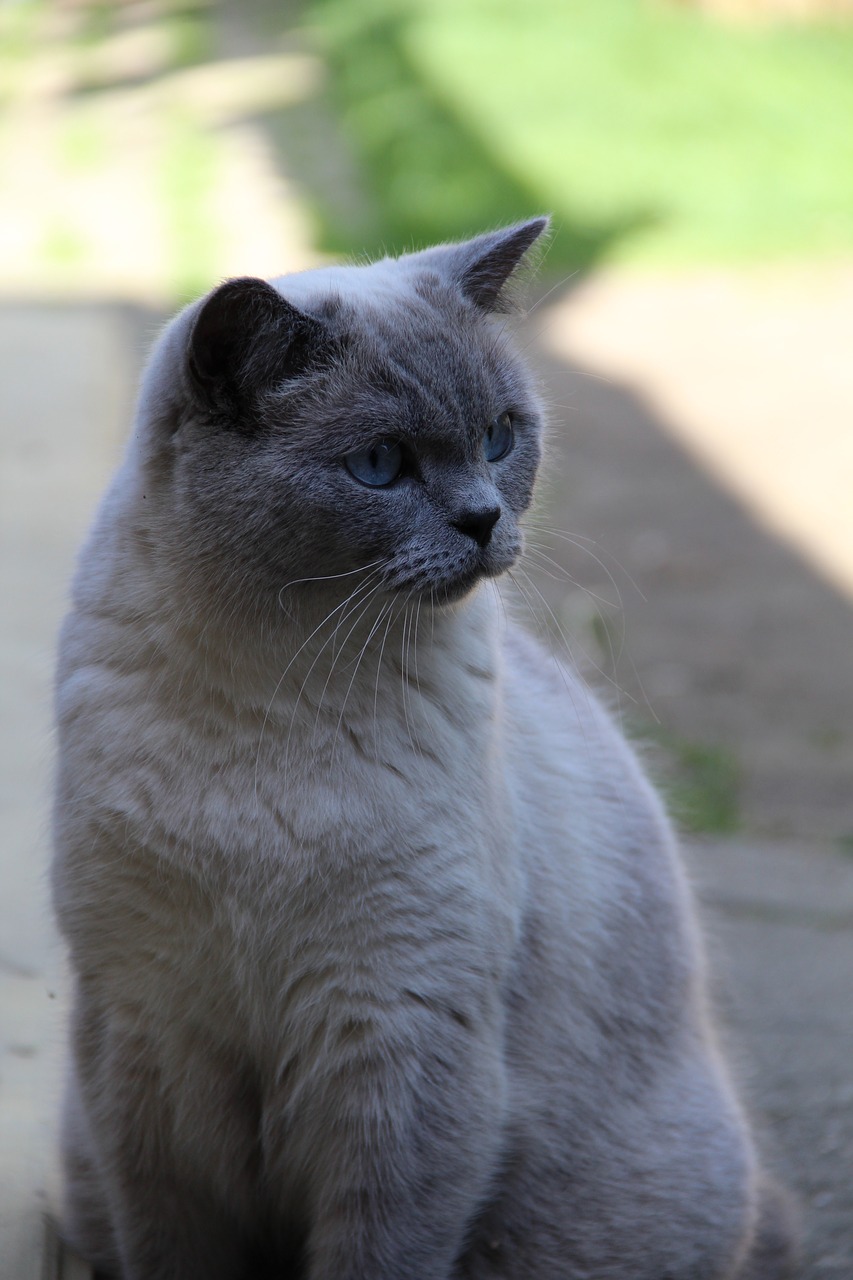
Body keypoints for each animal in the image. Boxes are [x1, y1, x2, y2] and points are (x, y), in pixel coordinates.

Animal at [53, 215, 794, 1274]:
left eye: (498, 437)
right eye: (380, 464)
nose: (485, 519)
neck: (275, 690)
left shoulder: (399, 1039)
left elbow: (380, 1250)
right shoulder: (147, 1034)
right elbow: (171, 1244)